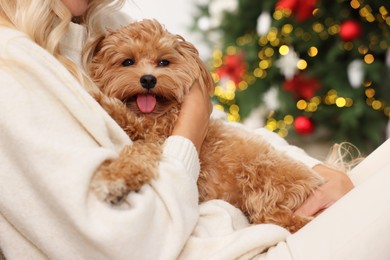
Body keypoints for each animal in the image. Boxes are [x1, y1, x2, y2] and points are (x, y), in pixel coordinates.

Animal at [88, 19, 322, 233]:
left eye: (164, 62)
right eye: (127, 62)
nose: (148, 79)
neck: (158, 114)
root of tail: (313, 184)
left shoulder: (156, 138)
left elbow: (134, 147)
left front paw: (112, 179)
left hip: (262, 174)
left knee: (277, 219)